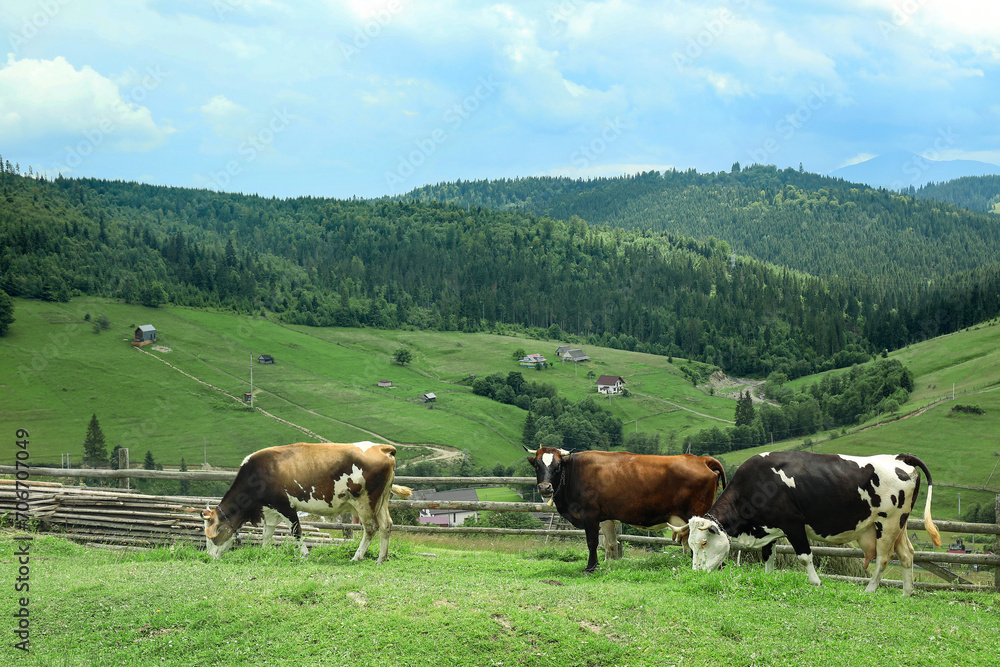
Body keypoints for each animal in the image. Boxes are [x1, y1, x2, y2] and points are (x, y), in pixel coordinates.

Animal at [201, 444, 412, 564]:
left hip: (365, 501)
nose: (209, 558)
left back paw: (357, 557)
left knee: (370, 528)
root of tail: (382, 447)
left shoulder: (286, 506)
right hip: (382, 500)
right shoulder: (270, 511)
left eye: (211, 536)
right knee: (386, 526)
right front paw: (265, 551)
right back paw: (381, 558)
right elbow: (267, 533)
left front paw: (303, 555)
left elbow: (296, 531)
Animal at [524, 446, 728, 572]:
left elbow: (592, 542)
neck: (574, 472)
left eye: (557, 466)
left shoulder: (590, 516)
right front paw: (607, 564)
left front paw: (591, 567)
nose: (545, 488)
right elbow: (610, 544)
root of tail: (701, 459)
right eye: (537, 466)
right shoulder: (605, 518)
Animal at [676, 452, 940, 596]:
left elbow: (804, 556)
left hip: (889, 522)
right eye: (690, 545)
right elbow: (768, 556)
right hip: (900, 526)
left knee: (884, 558)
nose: (696, 573)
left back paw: (870, 589)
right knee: (907, 555)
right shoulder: (769, 528)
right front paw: (769, 578)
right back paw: (907, 592)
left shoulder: (793, 523)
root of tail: (898, 457)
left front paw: (816, 582)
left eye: (703, 543)